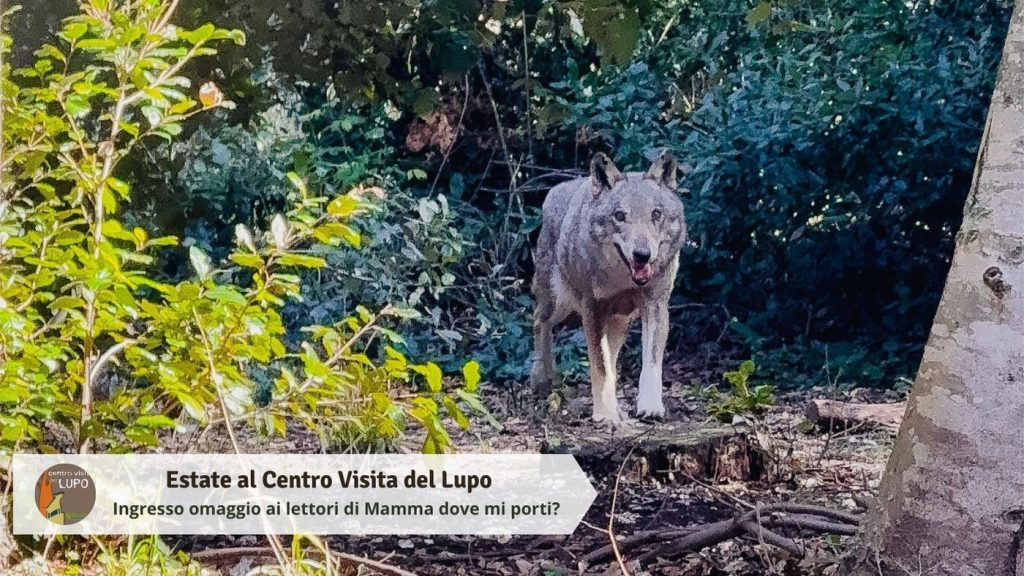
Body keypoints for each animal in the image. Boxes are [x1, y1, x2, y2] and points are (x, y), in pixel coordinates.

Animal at [530, 151, 687, 423]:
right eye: (620, 216)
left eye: (656, 215)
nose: (642, 255)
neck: (623, 280)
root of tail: (556, 191)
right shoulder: (591, 308)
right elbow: (600, 366)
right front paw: (604, 414)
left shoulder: (656, 306)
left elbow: (650, 363)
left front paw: (650, 408)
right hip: (558, 304)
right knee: (539, 322)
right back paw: (543, 380)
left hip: (619, 321)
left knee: (611, 358)